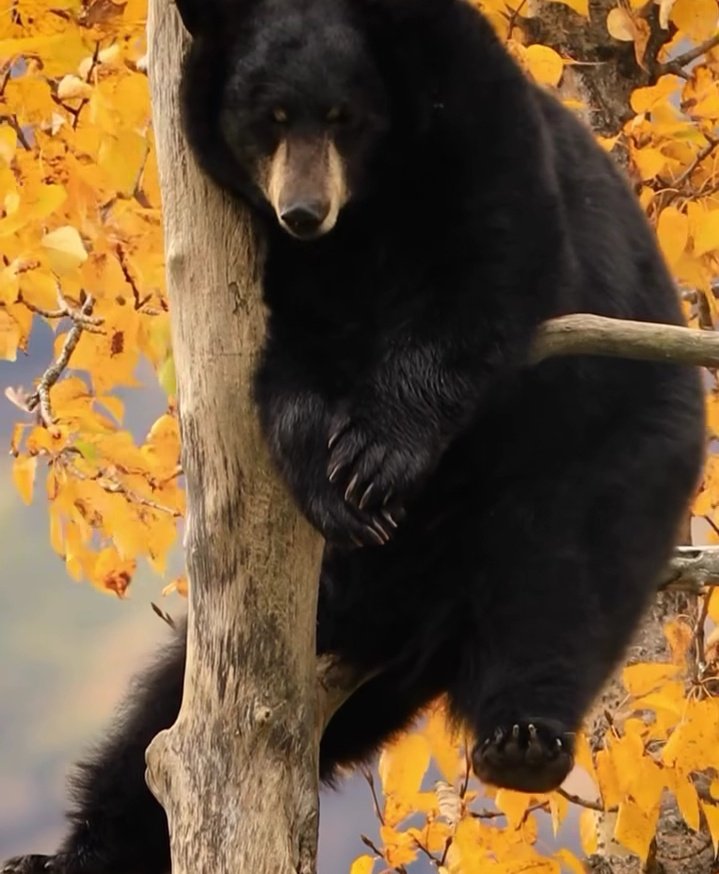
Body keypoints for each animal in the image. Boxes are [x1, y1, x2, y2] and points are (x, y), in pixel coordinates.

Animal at [2, 0, 705, 872]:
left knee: (564, 580)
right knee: (160, 725)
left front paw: (375, 457)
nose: (303, 211)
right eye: (267, 118)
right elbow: (290, 364)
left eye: (342, 116)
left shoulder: (479, 133)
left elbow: (484, 274)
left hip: (615, 440)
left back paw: (522, 740)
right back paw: (75, 849)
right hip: (344, 609)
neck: (368, 209)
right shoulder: (278, 263)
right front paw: (333, 480)